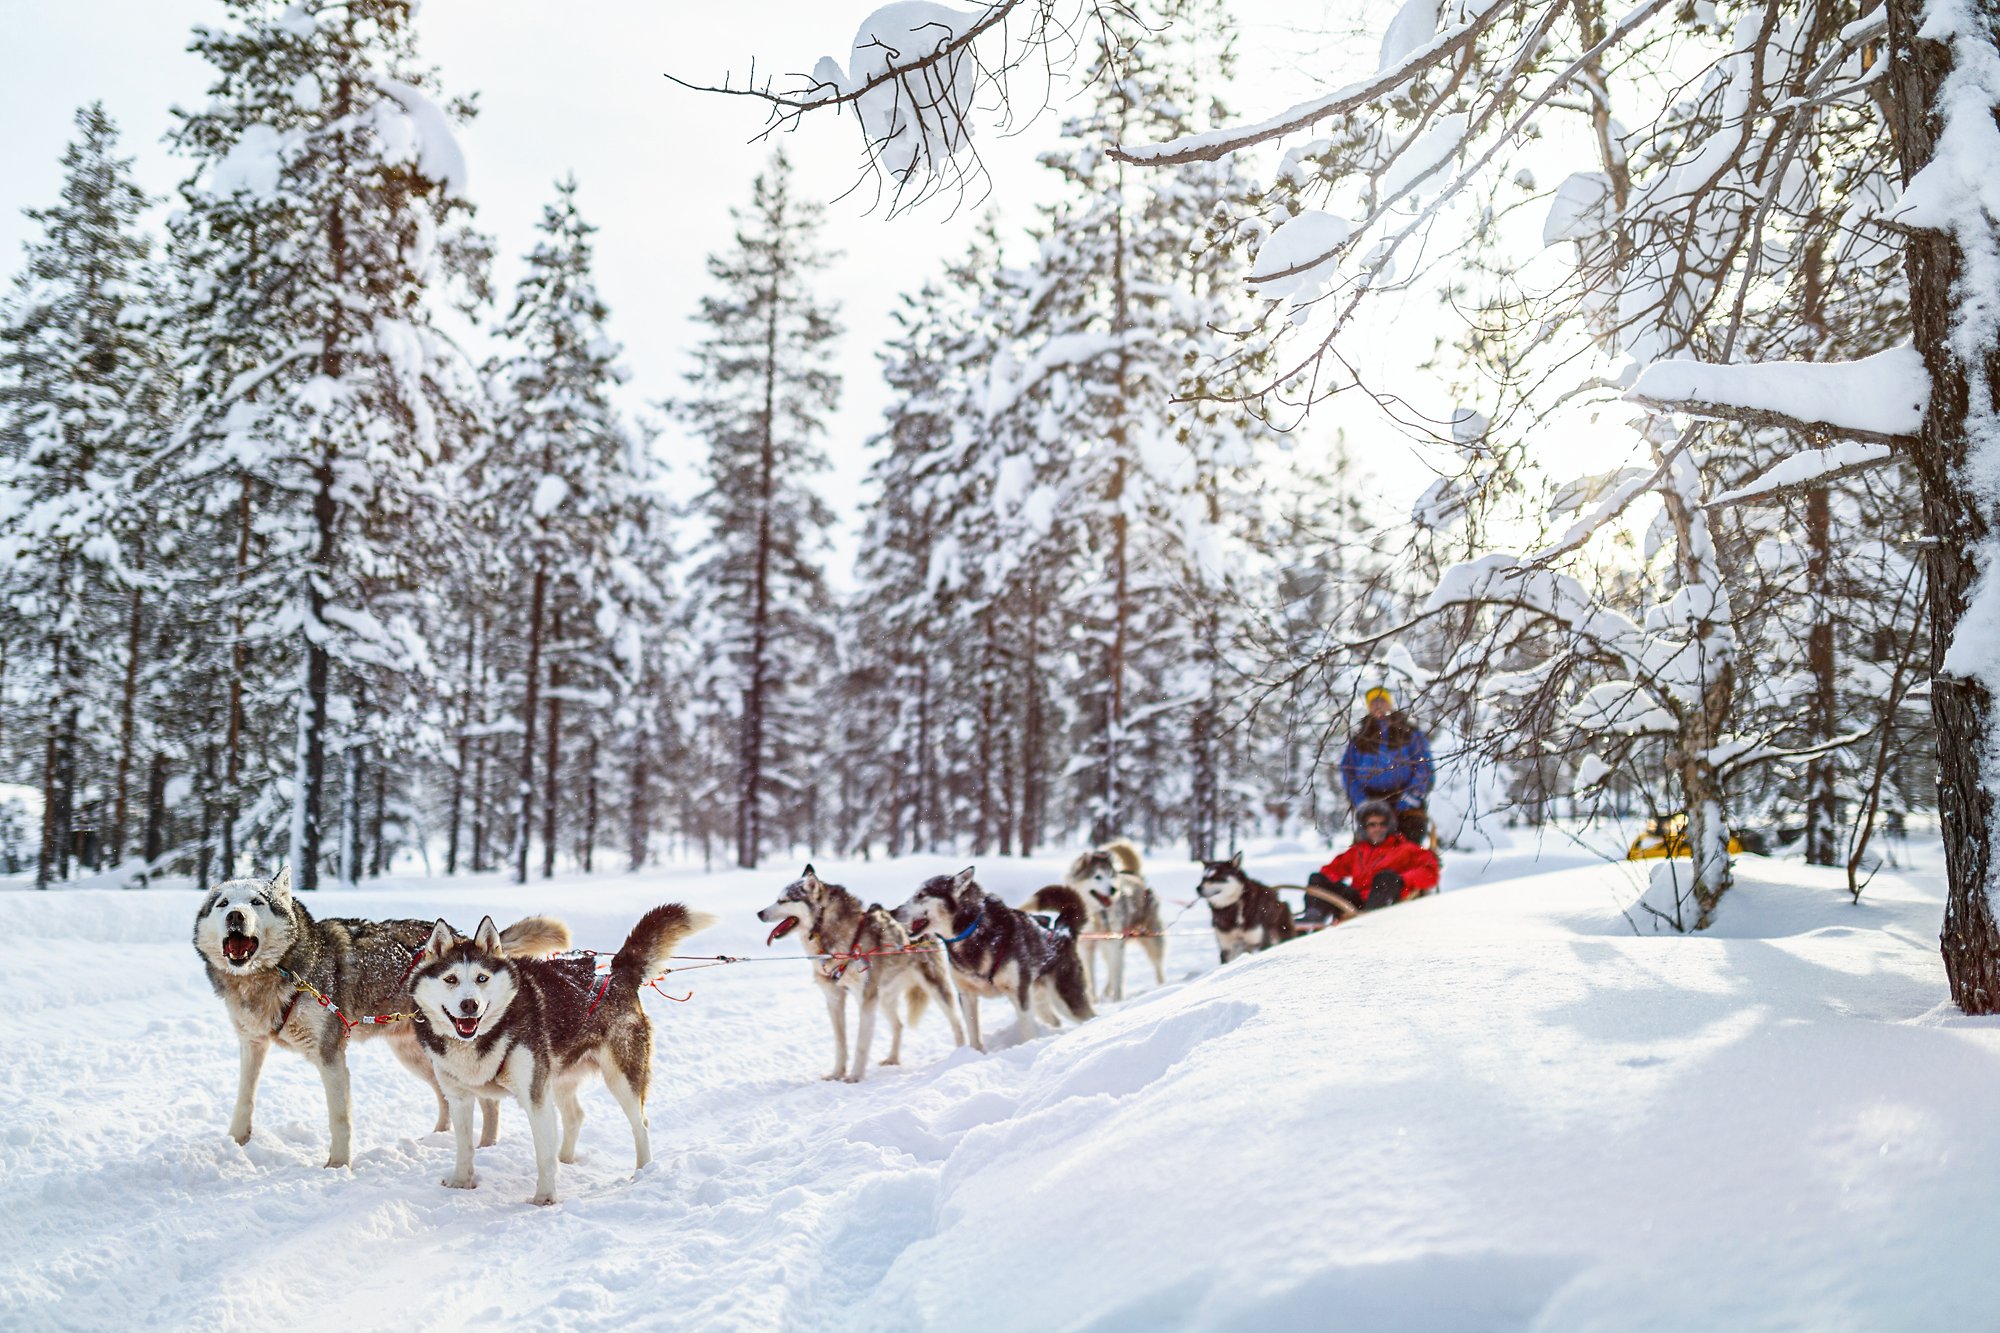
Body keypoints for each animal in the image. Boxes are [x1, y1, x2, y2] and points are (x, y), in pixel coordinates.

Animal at [192, 860, 572, 1160]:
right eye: (223, 903)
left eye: (257, 901)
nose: (236, 915)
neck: (276, 975)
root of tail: (465, 940)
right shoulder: (252, 1044)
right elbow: (244, 1098)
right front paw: (235, 1141)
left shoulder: (330, 1056)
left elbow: (339, 1119)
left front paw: (337, 1166)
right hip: (417, 1057)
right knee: (447, 1098)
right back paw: (437, 1137)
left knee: (486, 1102)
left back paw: (485, 1148)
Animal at [410, 896, 716, 1200]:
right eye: (450, 979)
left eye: (481, 978)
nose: (469, 1005)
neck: (482, 1037)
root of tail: (617, 975)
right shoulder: (459, 1097)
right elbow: (464, 1148)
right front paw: (460, 1183)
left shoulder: (535, 1097)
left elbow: (542, 1155)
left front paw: (544, 1199)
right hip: (559, 1079)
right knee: (575, 1116)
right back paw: (566, 1160)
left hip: (620, 1078)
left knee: (640, 1124)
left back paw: (642, 1172)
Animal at [752, 860, 964, 1080]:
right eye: (778, 898)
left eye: (784, 900)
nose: (759, 913)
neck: (826, 931)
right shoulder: (834, 999)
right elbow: (841, 1043)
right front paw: (836, 1074)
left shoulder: (866, 999)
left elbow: (861, 1044)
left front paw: (854, 1077)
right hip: (884, 998)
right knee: (898, 1025)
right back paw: (893, 1059)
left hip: (934, 987)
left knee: (957, 1023)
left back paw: (960, 1054)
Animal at [900, 868, 1096, 1056]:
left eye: (921, 894)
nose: (894, 911)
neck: (973, 931)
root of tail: (1062, 931)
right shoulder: (967, 996)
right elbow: (973, 1034)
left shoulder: (1019, 995)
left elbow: (1027, 1031)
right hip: (1039, 999)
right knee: (1053, 1019)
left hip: (1065, 999)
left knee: (1089, 1015)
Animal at [1056, 832, 1168, 996]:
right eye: (1098, 876)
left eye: (1110, 875)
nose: (1114, 889)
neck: (1096, 914)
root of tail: (1135, 875)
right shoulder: (1086, 948)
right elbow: (1092, 981)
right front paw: (1095, 998)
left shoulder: (1115, 944)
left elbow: (1117, 978)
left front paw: (1117, 998)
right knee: (1111, 968)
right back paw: (1105, 992)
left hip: (1149, 938)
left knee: (1157, 964)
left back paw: (1161, 987)